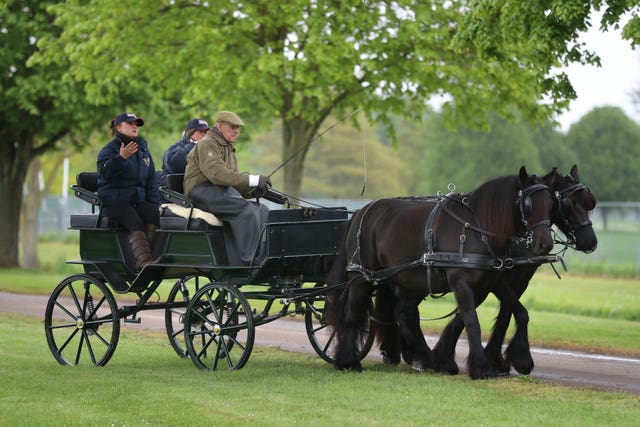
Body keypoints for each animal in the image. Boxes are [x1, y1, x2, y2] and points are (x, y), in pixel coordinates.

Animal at [324, 167, 556, 382]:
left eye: (551, 203)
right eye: (529, 204)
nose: (545, 244)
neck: (477, 229)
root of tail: (361, 211)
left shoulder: (493, 282)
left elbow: (518, 312)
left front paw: (521, 360)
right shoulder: (461, 283)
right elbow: (472, 322)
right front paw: (481, 367)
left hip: (408, 280)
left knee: (405, 316)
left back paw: (428, 359)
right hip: (361, 278)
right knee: (352, 314)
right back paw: (348, 361)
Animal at [428, 166, 596, 376]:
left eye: (588, 203)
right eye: (568, 205)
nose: (590, 241)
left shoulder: (515, 281)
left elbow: (504, 314)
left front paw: (493, 358)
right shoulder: (490, 281)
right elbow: (471, 314)